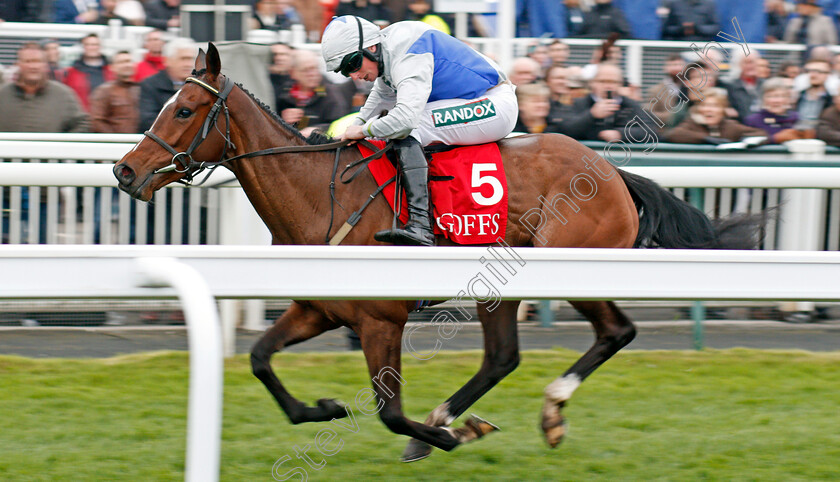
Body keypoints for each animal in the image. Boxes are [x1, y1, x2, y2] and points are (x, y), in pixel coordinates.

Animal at [111, 46, 760, 464]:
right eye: (166, 103)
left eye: (185, 110)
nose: (125, 171)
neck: (318, 191)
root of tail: (610, 171)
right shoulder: (316, 308)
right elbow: (260, 359)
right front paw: (323, 408)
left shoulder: (381, 319)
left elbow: (388, 409)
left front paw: (434, 436)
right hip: (504, 289)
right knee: (502, 358)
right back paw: (458, 419)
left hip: (572, 264)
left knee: (616, 332)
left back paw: (530, 414)